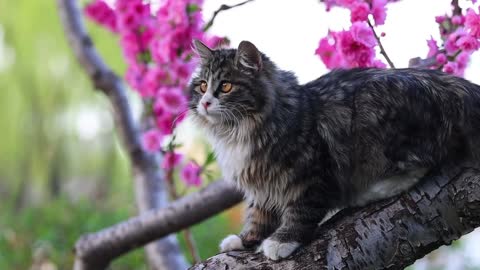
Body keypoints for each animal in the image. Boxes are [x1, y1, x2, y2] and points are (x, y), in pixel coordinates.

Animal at [188, 39, 480, 260]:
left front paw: (281, 241)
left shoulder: (310, 172)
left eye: (226, 86)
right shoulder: (261, 185)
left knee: (425, 163)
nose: (205, 103)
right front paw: (244, 240)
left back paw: (373, 191)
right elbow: (257, 216)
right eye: (202, 86)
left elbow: (300, 213)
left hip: (382, 129)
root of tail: (452, 85)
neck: (237, 132)